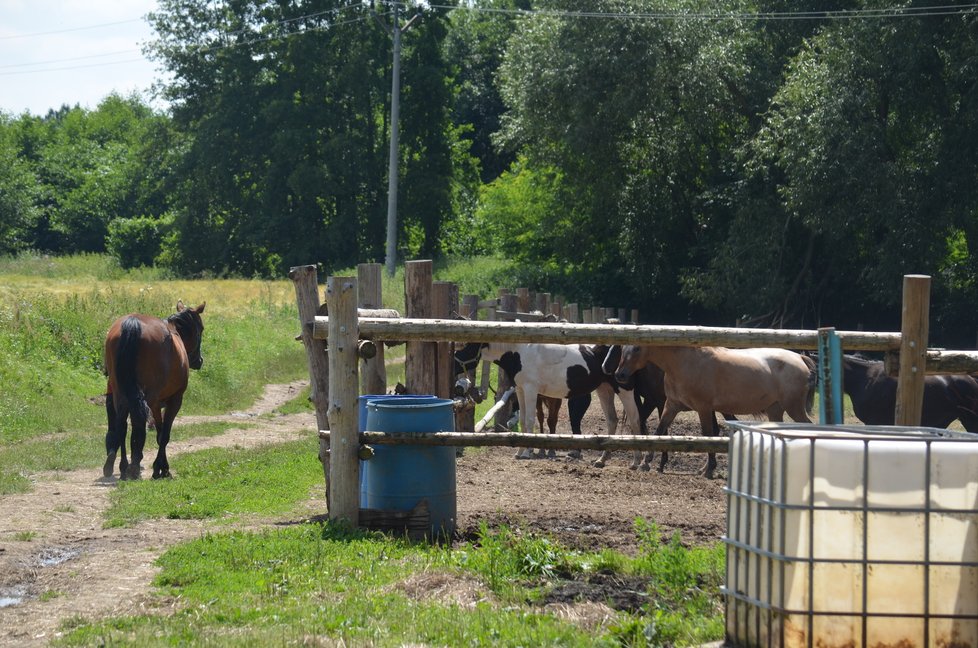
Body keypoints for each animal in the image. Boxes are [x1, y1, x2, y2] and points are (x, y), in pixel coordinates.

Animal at [102, 302, 205, 478]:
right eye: (201, 328)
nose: (199, 360)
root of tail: (133, 324)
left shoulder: (156, 404)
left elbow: (159, 432)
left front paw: (159, 466)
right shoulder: (173, 400)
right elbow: (163, 435)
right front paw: (161, 468)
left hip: (120, 393)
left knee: (122, 425)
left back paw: (123, 466)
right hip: (147, 396)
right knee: (138, 421)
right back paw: (134, 465)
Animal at [608, 346, 816, 478]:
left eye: (636, 349)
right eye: (622, 349)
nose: (620, 374)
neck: (684, 363)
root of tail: (800, 358)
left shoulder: (704, 409)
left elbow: (708, 435)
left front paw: (708, 470)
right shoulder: (671, 406)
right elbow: (659, 431)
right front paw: (646, 462)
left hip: (794, 408)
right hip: (775, 411)